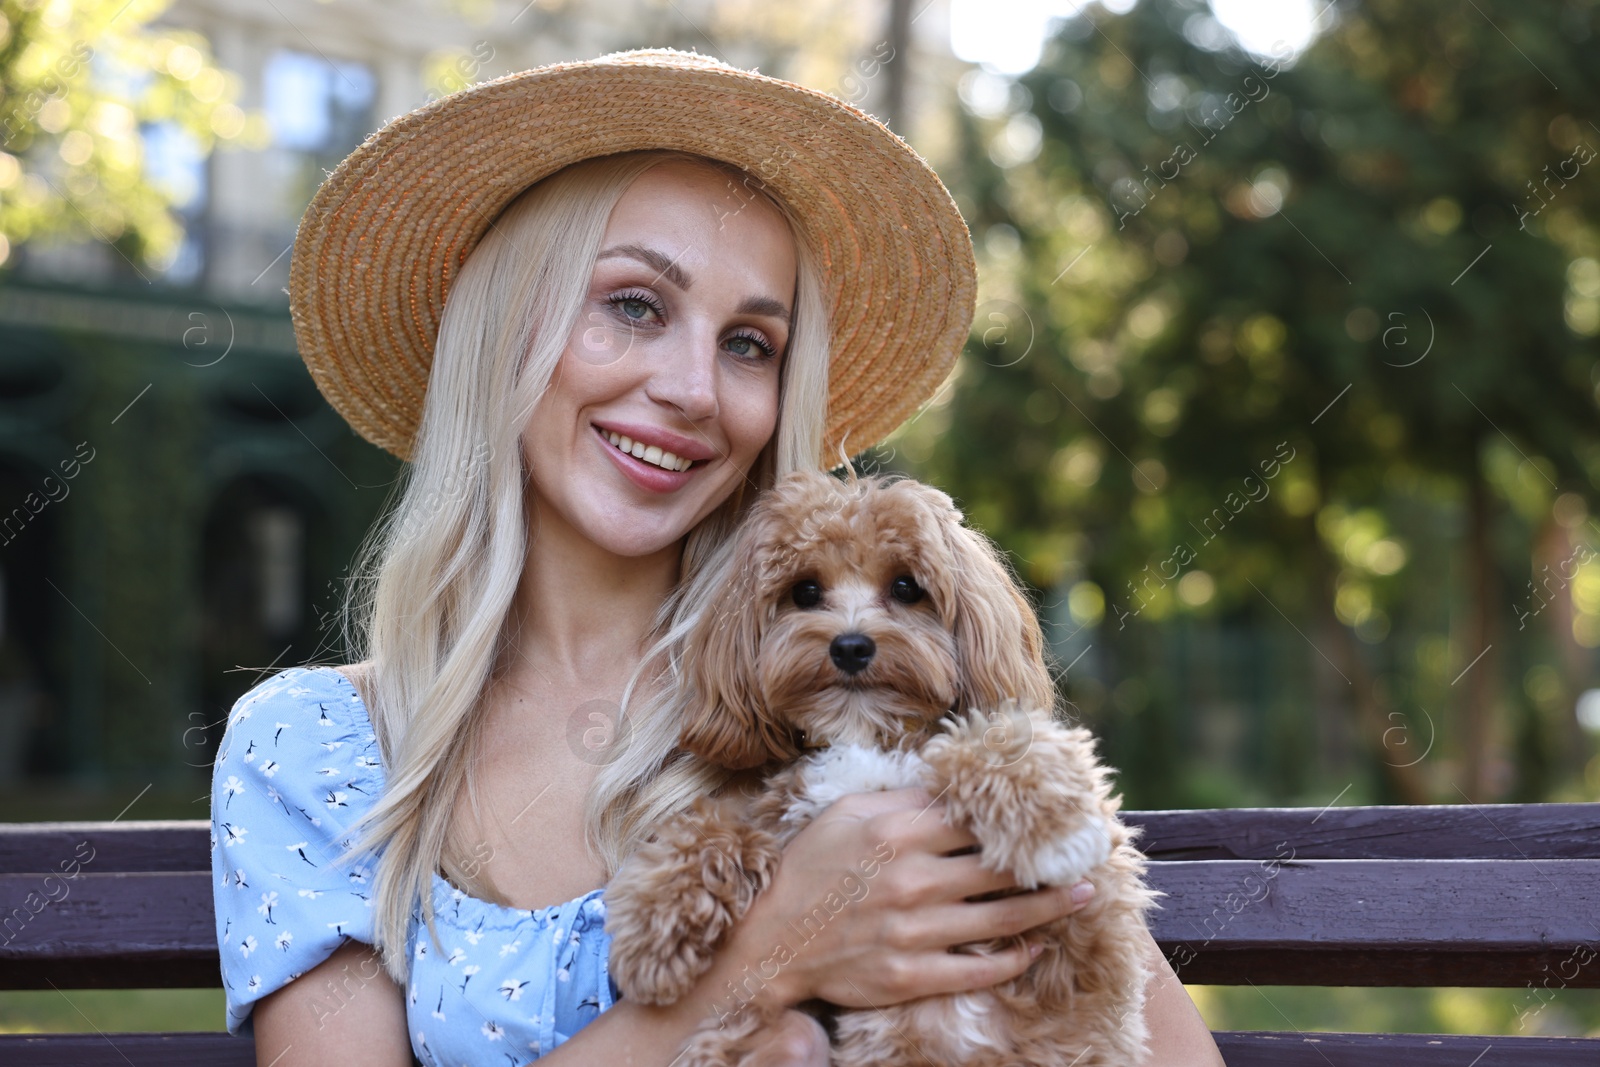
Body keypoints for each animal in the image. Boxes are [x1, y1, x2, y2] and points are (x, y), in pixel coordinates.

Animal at [604, 473, 1158, 1067]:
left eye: (907, 587)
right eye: (805, 591)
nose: (850, 646)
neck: (870, 738)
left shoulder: (1085, 921)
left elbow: (998, 741)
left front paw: (1051, 830)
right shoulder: (785, 814)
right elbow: (711, 829)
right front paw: (652, 927)